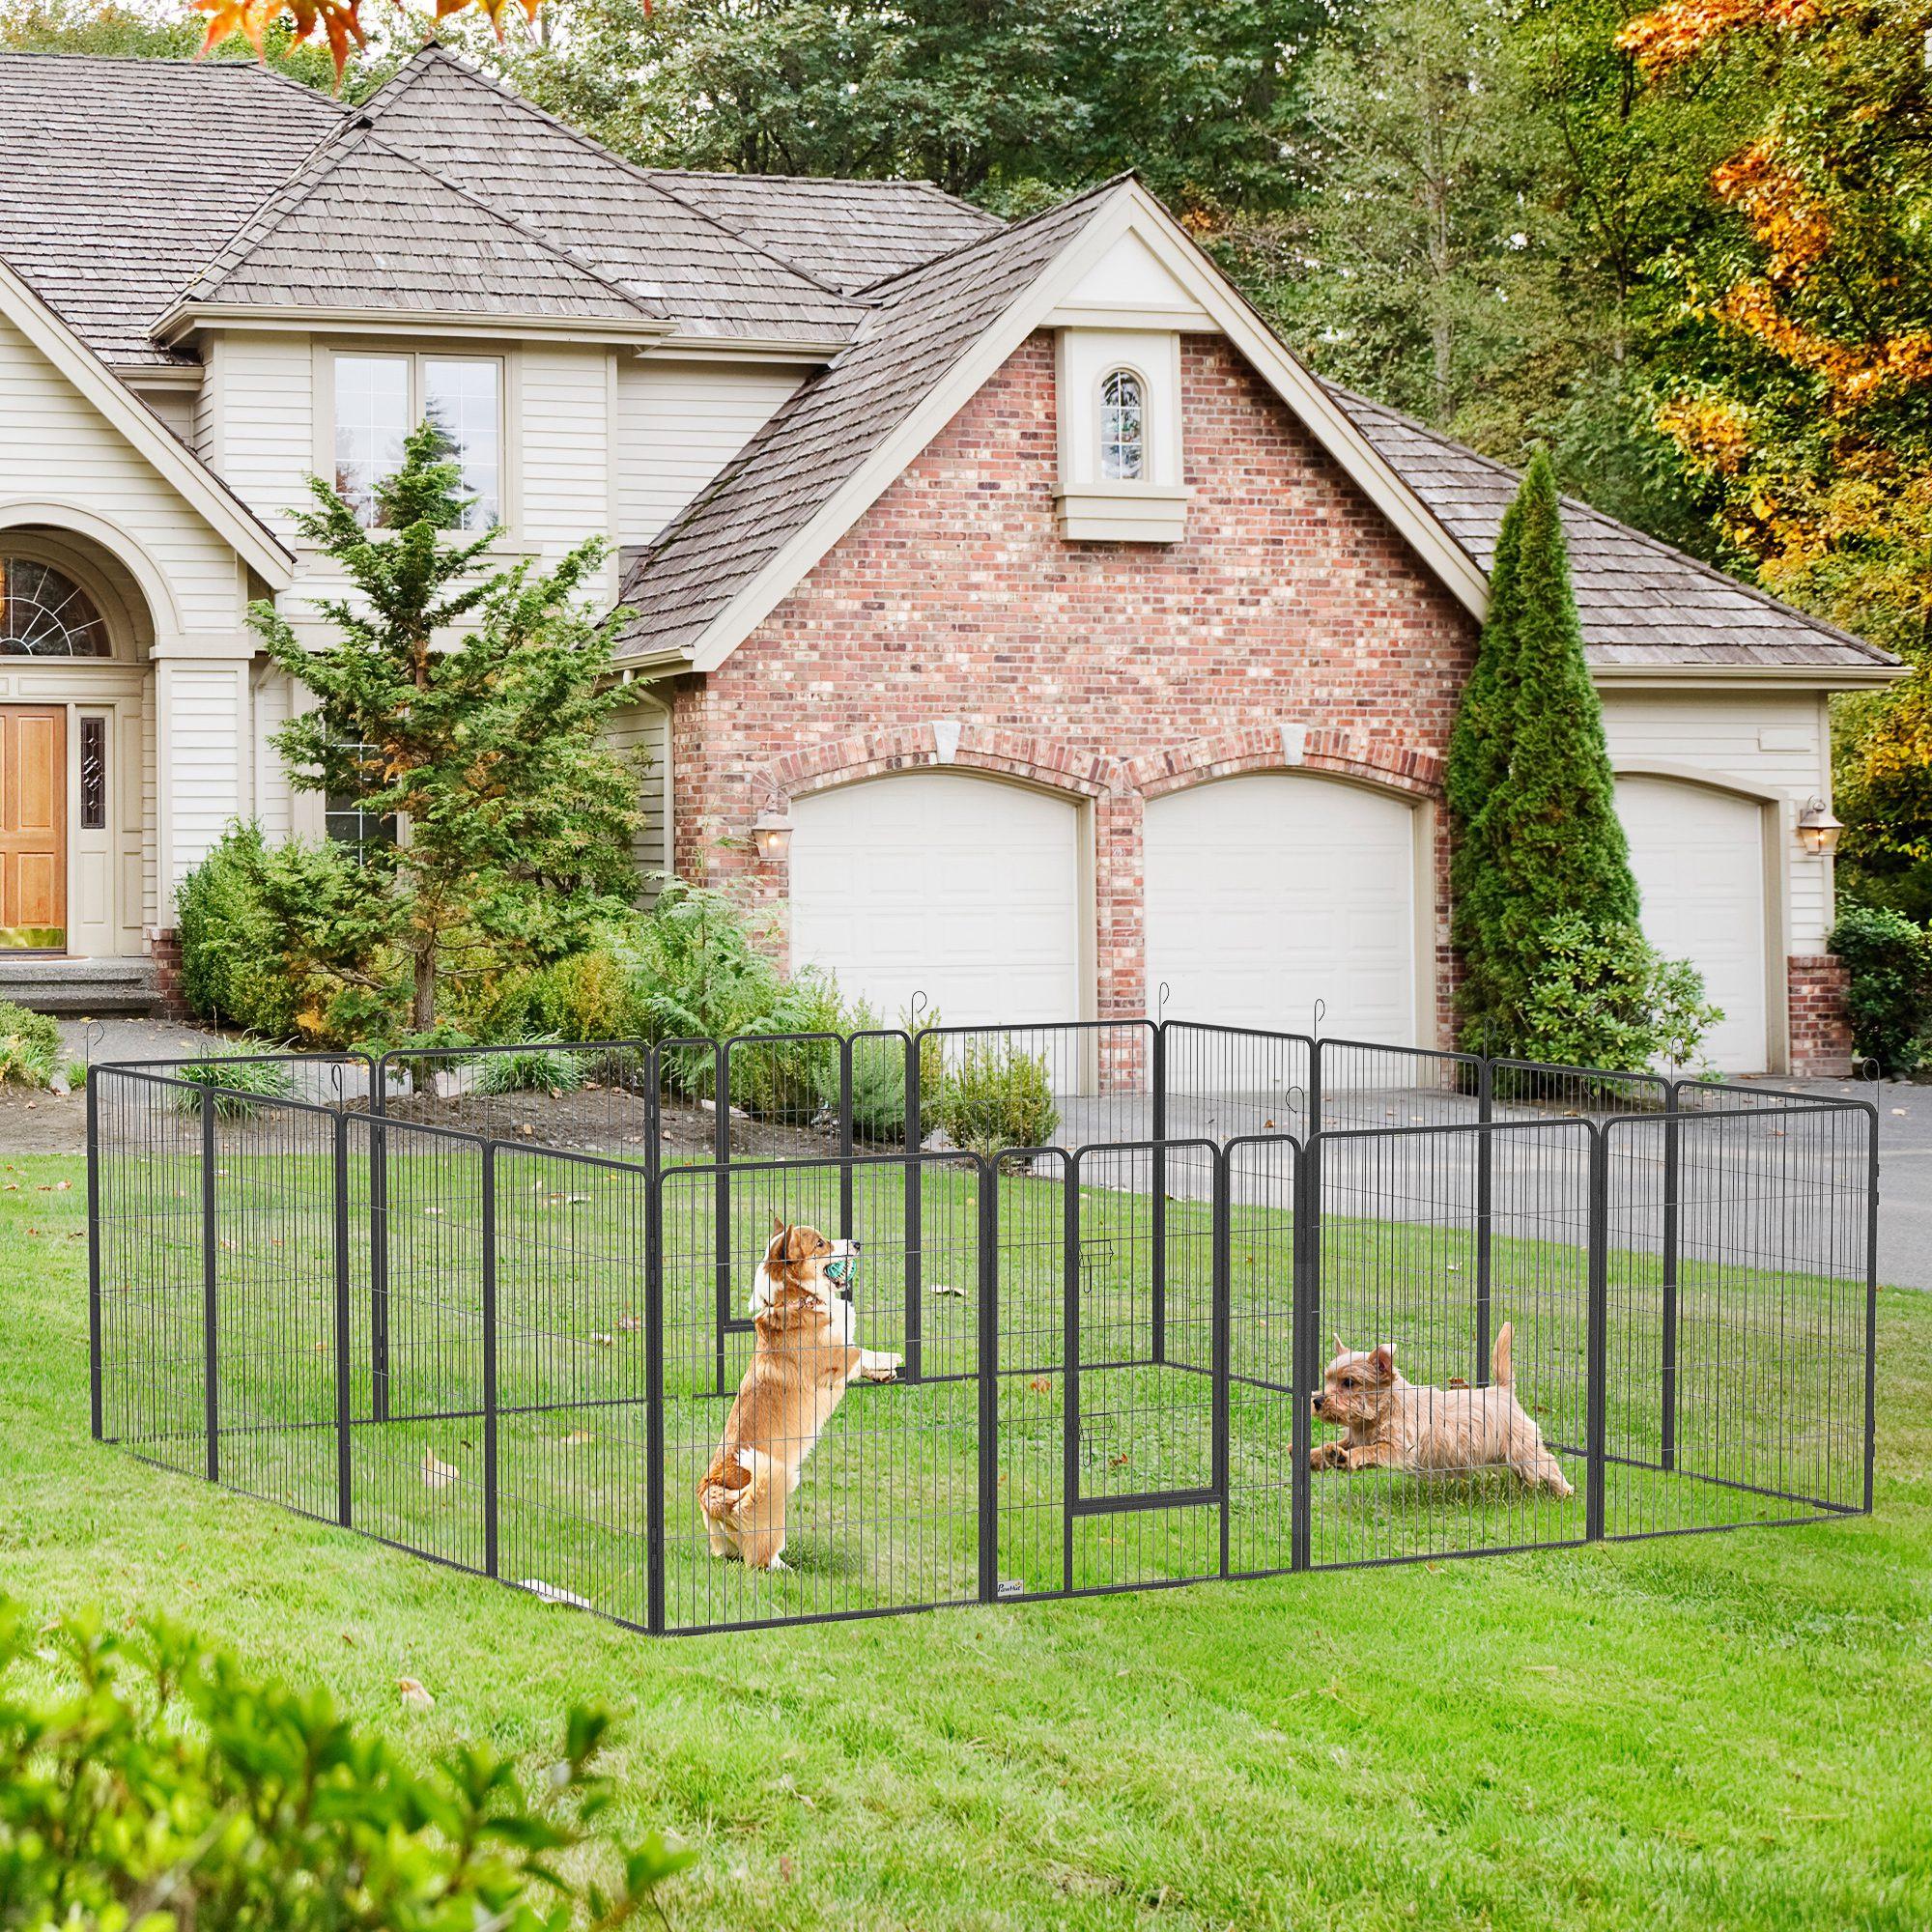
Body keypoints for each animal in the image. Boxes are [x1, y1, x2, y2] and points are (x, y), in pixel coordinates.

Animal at [699, 1221, 900, 1569]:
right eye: (820, 1244)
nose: (857, 1243)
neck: (798, 1298)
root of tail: (714, 1499)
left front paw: (883, 1372)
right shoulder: (834, 1359)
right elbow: (860, 1352)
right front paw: (890, 1359)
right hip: (773, 1489)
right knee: (761, 1559)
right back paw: (787, 1568)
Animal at [1314, 1321, 1569, 1499]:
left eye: (1348, 1383)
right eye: (1327, 1379)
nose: (1317, 1401)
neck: (1382, 1411)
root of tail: (1504, 1391)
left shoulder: (1399, 1449)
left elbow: (1369, 1451)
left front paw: (1346, 1457)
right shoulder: (1355, 1436)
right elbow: (1338, 1444)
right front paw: (1319, 1456)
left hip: (1522, 1447)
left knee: (1548, 1464)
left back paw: (1563, 1492)